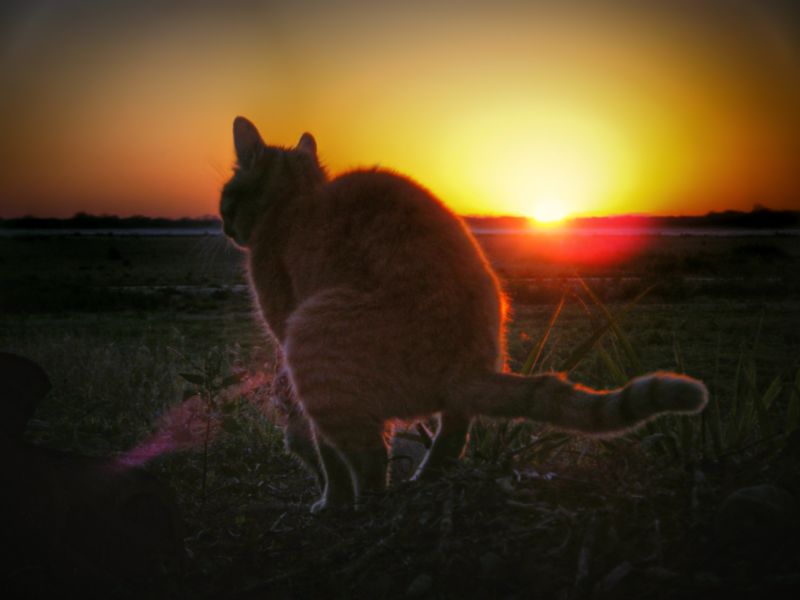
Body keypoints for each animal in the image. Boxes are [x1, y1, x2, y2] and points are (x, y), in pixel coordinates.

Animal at [220, 116, 708, 510]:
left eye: (227, 197)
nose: (223, 224)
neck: (295, 201)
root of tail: (464, 368)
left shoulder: (286, 332)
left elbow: (327, 455)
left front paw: (331, 500)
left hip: (310, 339)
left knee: (371, 459)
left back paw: (363, 506)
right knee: (453, 433)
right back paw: (425, 480)